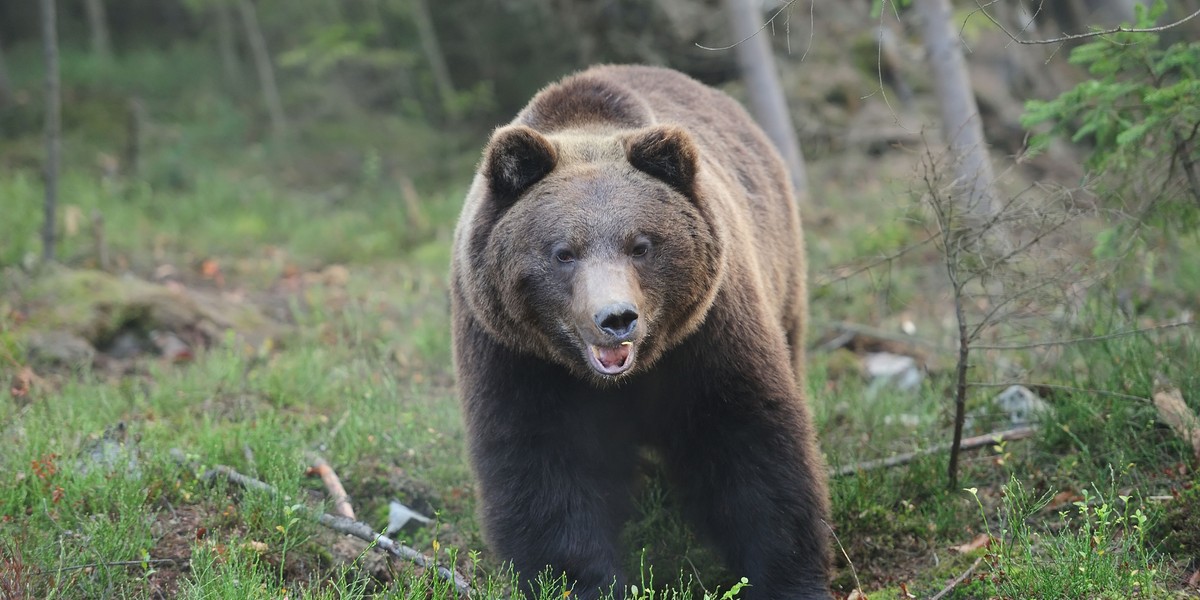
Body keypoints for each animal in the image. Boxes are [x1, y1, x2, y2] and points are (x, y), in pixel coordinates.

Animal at [451, 65, 835, 600]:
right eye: (563, 252)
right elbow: (542, 469)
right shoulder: (515, 356)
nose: (615, 318)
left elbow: (750, 442)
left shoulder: (708, 333)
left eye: (640, 245)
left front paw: (787, 579)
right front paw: (584, 580)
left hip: (784, 275)